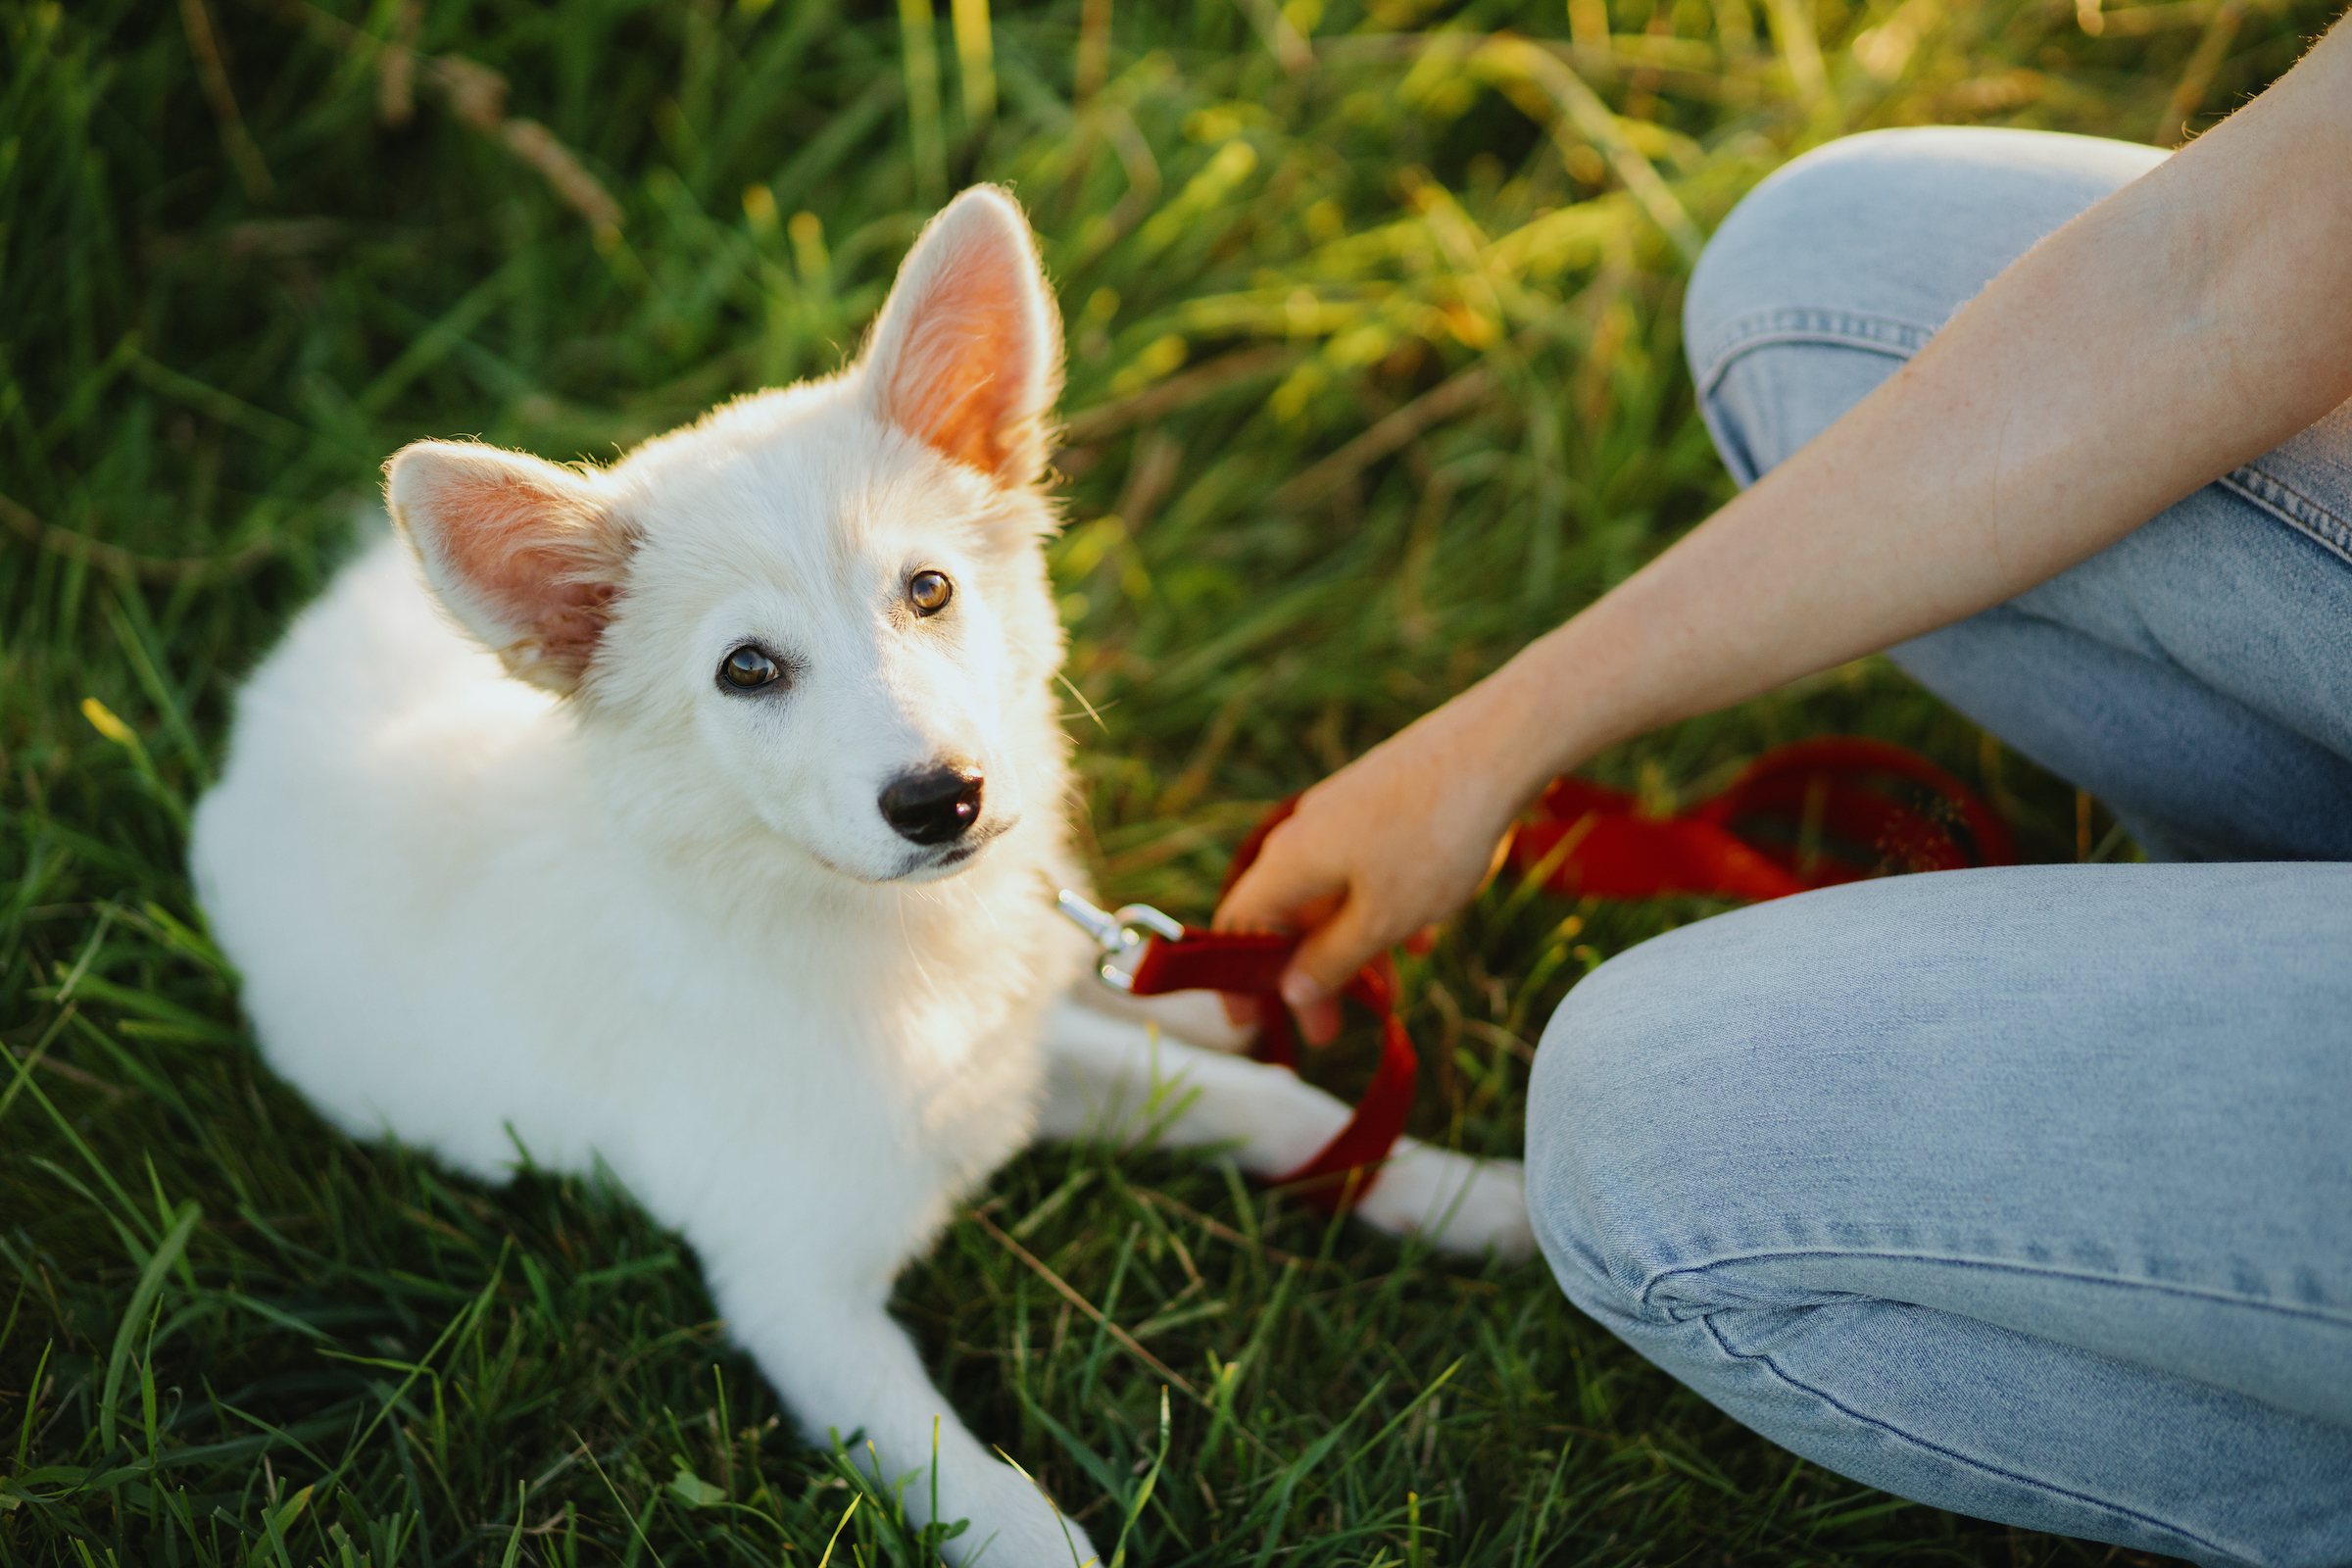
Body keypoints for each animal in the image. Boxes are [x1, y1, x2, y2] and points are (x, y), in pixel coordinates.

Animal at [192, 190, 1533, 1560]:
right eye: (745, 668)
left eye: (927, 588)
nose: (944, 800)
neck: (861, 935)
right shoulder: (795, 1291)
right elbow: (993, 1503)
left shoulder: (1006, 1065)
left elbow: (1275, 1109)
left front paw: (1482, 1201)